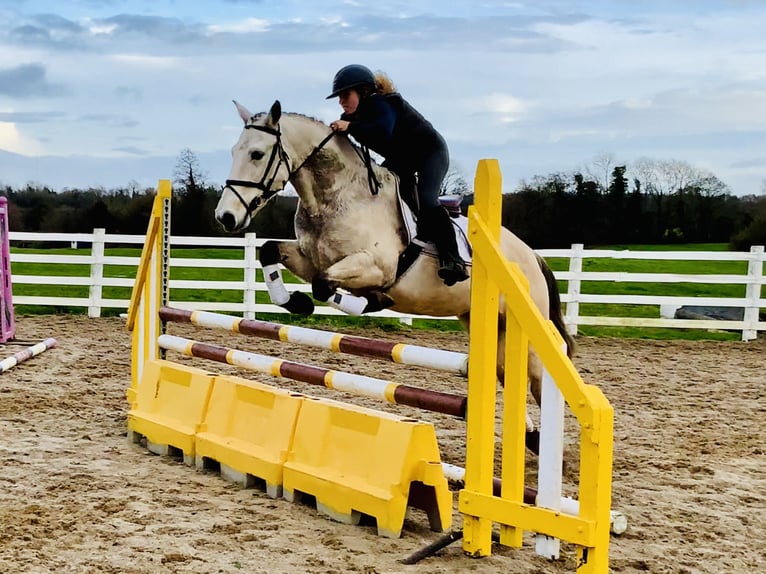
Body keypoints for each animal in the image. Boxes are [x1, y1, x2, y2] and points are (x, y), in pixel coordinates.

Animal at [214, 100, 574, 443]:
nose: (226, 217)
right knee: (506, 374)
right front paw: (294, 302)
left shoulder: (375, 266)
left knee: (538, 379)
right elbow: (270, 251)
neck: (337, 196)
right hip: (486, 323)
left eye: (257, 153)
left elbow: (324, 285)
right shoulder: (308, 257)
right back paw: (528, 435)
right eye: (233, 151)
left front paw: (370, 301)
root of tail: (531, 256)